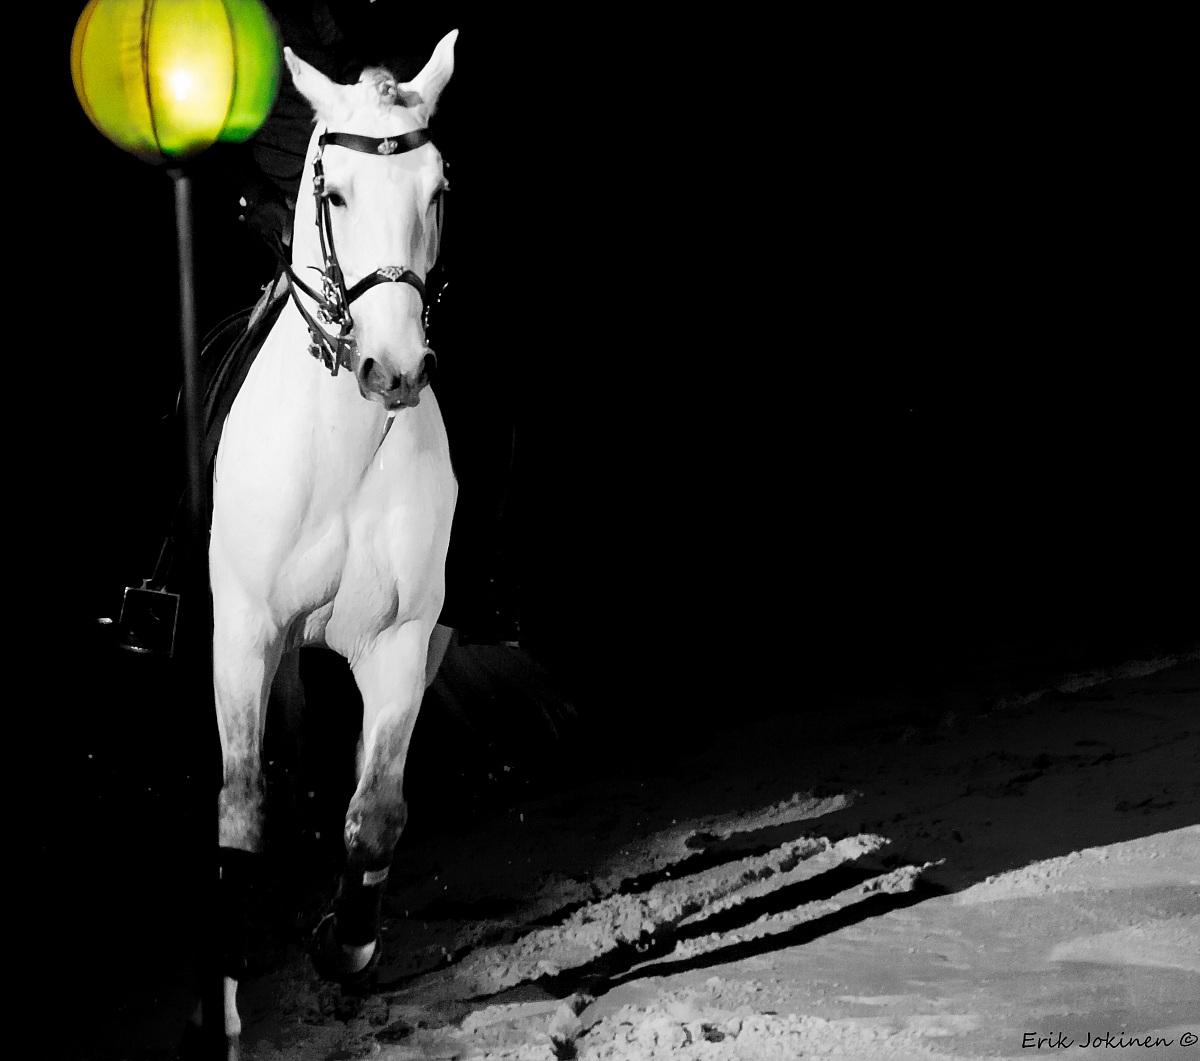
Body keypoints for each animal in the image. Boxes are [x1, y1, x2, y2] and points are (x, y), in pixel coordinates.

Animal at [197, 31, 459, 1056]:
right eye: (334, 192)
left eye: (437, 188)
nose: (395, 371)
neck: (345, 446)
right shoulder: (244, 631)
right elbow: (240, 808)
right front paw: (225, 1009)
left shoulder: (399, 638)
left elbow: (377, 811)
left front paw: (344, 943)